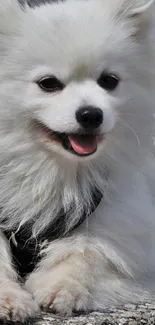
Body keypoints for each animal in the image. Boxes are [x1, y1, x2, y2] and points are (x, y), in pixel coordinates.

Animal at [0, 0, 155, 320]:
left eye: (109, 81)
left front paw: (63, 288)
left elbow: (85, 254)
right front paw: (9, 299)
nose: (91, 114)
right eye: (48, 84)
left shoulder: (114, 219)